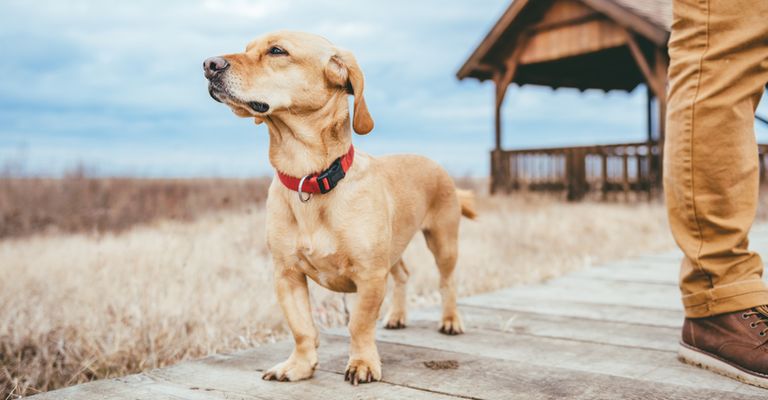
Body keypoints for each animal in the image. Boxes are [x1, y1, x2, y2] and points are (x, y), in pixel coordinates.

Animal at [204, 30, 474, 384]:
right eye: (247, 48)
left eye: (277, 51)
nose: (209, 64)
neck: (308, 178)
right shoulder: (287, 274)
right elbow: (302, 328)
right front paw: (300, 365)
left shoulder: (370, 276)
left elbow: (358, 325)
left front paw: (362, 363)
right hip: (394, 248)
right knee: (403, 274)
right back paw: (398, 315)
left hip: (443, 243)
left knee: (447, 282)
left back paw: (451, 320)